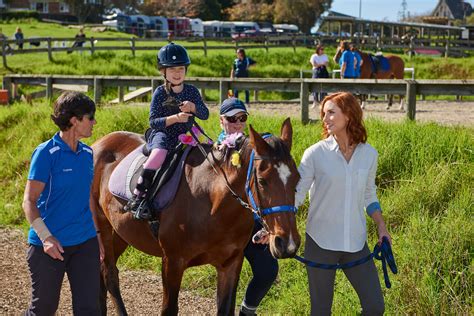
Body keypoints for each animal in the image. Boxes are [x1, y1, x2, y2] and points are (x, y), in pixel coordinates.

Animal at [90, 119, 302, 316]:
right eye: (262, 181)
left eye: (297, 179)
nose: (287, 243)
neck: (212, 203)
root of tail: (99, 143)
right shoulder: (172, 262)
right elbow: (169, 309)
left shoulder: (231, 263)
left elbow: (225, 309)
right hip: (101, 225)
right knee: (109, 273)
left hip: (121, 233)